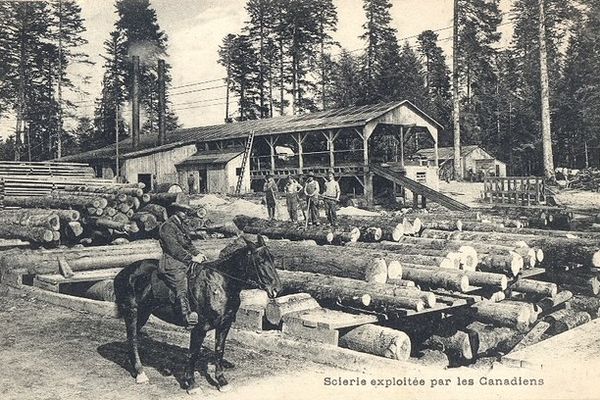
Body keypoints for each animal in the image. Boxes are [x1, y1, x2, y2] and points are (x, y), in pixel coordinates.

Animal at [113, 234, 282, 394]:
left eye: (273, 258)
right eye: (260, 260)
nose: (276, 289)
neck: (221, 283)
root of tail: (122, 273)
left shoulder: (224, 325)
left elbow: (219, 350)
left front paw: (222, 381)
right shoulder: (200, 328)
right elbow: (193, 353)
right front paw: (192, 384)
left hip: (143, 313)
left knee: (132, 337)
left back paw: (135, 369)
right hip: (132, 312)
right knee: (133, 338)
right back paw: (140, 374)